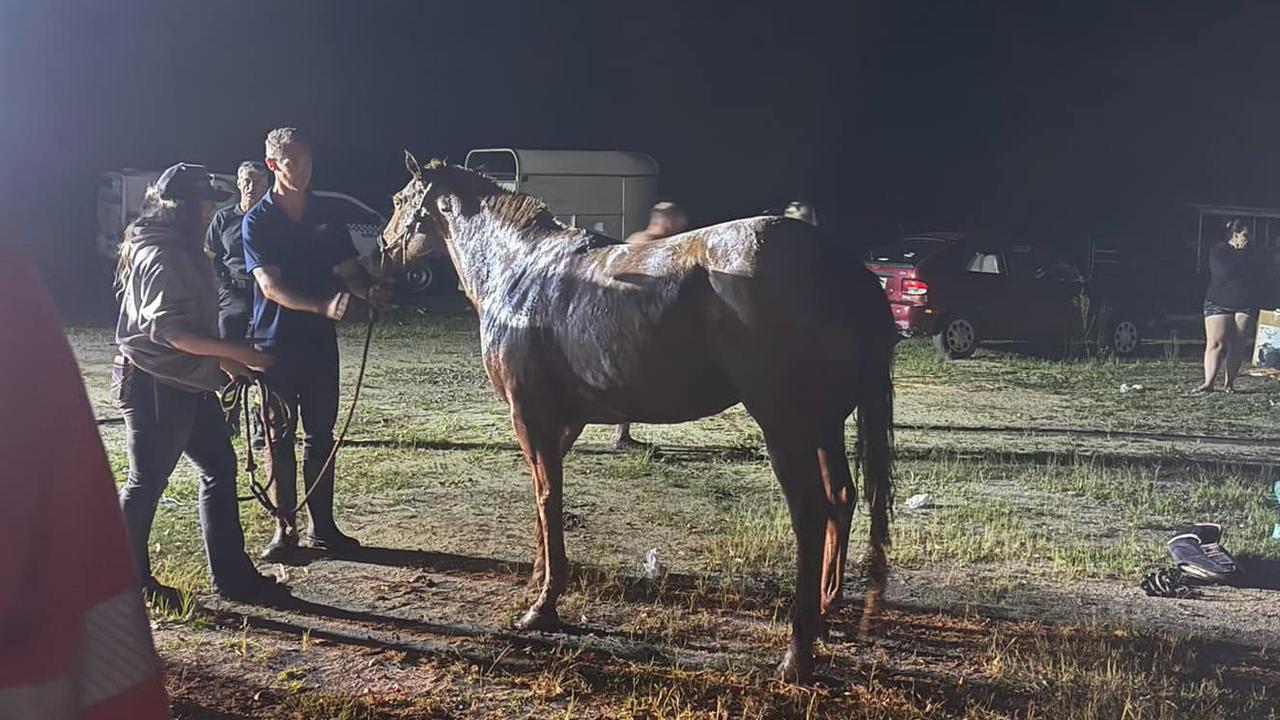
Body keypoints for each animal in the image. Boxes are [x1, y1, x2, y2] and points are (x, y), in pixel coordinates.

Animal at [378, 151, 901, 676]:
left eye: (399, 199)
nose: (383, 247)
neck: (521, 271)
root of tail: (840, 266)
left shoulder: (529, 414)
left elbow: (549, 498)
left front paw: (543, 606)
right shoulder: (564, 421)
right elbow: (544, 497)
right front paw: (539, 577)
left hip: (785, 426)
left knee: (811, 515)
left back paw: (796, 654)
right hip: (824, 424)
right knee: (841, 498)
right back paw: (825, 611)